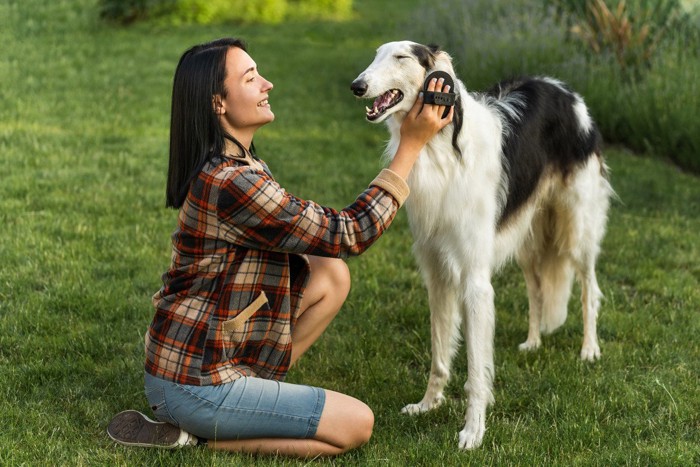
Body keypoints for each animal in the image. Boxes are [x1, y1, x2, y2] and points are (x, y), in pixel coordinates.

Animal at [350, 42, 612, 452]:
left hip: (577, 228)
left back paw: (589, 349)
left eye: (402, 58)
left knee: (589, 289)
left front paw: (473, 431)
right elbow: (440, 354)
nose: (357, 86)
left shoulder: (474, 280)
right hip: (527, 236)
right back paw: (533, 342)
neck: (442, 150)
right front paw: (428, 404)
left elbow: (475, 369)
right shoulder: (438, 273)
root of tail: (565, 91)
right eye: (376, 55)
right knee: (537, 290)